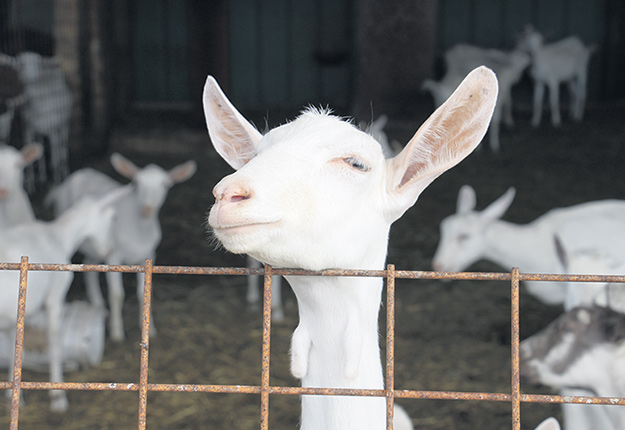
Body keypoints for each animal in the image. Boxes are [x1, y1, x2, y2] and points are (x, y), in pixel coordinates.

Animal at [0, 186, 128, 414]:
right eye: (114, 217)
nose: (110, 249)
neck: (60, 236)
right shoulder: (56, 293)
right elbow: (54, 338)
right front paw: (57, 395)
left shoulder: (12, 312)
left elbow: (12, 344)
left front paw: (14, 395)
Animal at [46, 153, 196, 340]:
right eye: (136, 183)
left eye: (166, 184)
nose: (147, 209)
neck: (139, 230)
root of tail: (78, 174)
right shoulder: (114, 256)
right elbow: (117, 294)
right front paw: (117, 333)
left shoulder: (149, 256)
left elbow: (144, 293)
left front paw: (150, 329)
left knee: (89, 267)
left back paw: (99, 307)